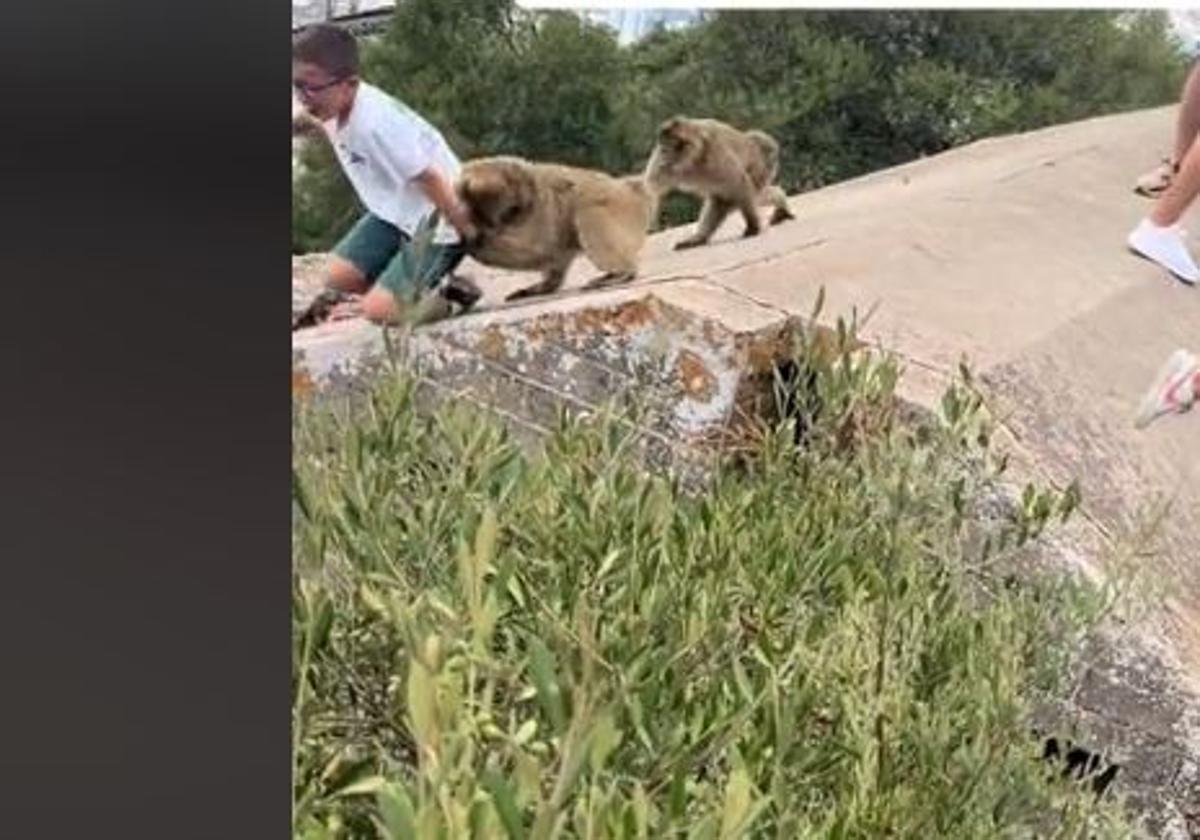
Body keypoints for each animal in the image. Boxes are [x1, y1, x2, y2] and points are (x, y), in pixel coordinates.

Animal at [453, 156, 657, 303]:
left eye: (511, 210)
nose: (494, 222)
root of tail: (635, 190)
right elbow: (539, 249)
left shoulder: (530, 202)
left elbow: (532, 245)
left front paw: (475, 238)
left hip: (620, 206)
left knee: (589, 216)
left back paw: (622, 272)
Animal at [643, 116, 792, 250]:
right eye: (662, 149)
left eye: (666, 149)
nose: (663, 157)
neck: (692, 159)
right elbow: (650, 190)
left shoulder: (715, 154)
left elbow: (739, 182)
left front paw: (752, 226)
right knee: (724, 200)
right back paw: (699, 238)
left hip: (762, 168)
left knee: (749, 194)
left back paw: (779, 202)